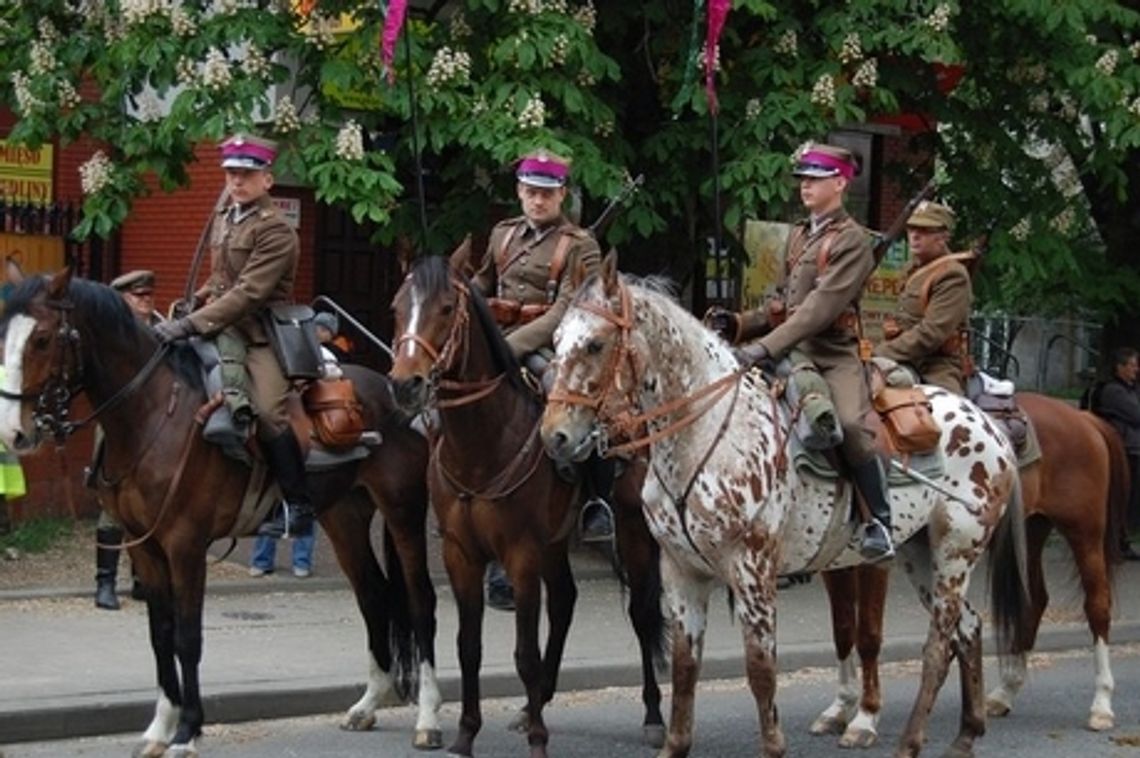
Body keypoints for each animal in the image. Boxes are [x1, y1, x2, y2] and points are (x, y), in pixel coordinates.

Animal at [0, 269, 444, 752]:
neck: (152, 413)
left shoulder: (185, 546)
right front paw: (160, 727)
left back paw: (428, 719)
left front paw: (188, 730)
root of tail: (396, 390)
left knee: (420, 600)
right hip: (344, 516)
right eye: (4, 334)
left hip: (402, 511)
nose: (13, 432)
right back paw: (367, 704)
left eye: (42, 339)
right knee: (373, 595)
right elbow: (161, 635)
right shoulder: (144, 546)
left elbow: (188, 638)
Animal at [389, 254, 665, 756]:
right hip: (556, 544)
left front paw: (539, 740)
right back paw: (535, 702)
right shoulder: (461, 554)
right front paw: (465, 735)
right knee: (566, 602)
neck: (482, 445)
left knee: (642, 614)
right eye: (397, 308)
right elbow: (469, 647)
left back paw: (653, 716)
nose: (405, 384)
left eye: (445, 308)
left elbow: (524, 654)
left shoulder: (520, 555)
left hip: (633, 531)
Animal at [538, 254, 1030, 756]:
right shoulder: (681, 569)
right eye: (556, 341)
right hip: (920, 554)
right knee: (968, 629)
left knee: (938, 644)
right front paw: (674, 743)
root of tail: (988, 423)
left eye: (595, 344)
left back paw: (912, 741)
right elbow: (684, 667)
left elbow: (761, 670)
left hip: (956, 551)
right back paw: (966, 734)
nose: (554, 436)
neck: (708, 433)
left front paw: (775, 744)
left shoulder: (752, 570)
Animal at [811, 392, 1130, 747]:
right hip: (1032, 530)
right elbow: (842, 631)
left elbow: (867, 635)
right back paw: (1004, 692)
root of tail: (1082, 417)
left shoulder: (876, 562)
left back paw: (1101, 704)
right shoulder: (834, 564)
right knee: (1035, 600)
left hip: (1084, 532)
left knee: (1097, 606)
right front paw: (839, 707)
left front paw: (865, 718)